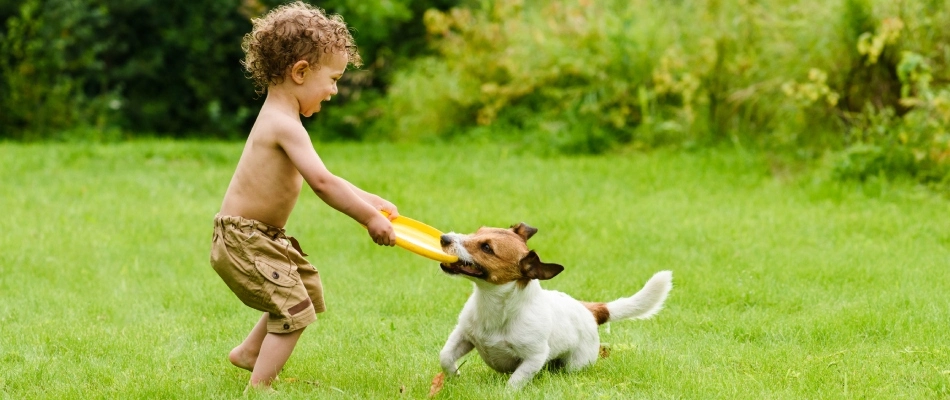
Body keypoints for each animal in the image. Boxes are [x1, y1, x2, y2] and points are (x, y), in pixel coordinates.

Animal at [436, 223, 668, 390]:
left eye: (487, 248)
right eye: (477, 231)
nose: (444, 238)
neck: (494, 306)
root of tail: (588, 310)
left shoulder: (534, 357)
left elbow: (515, 382)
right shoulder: (463, 335)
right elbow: (445, 356)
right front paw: (455, 375)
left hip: (577, 363)